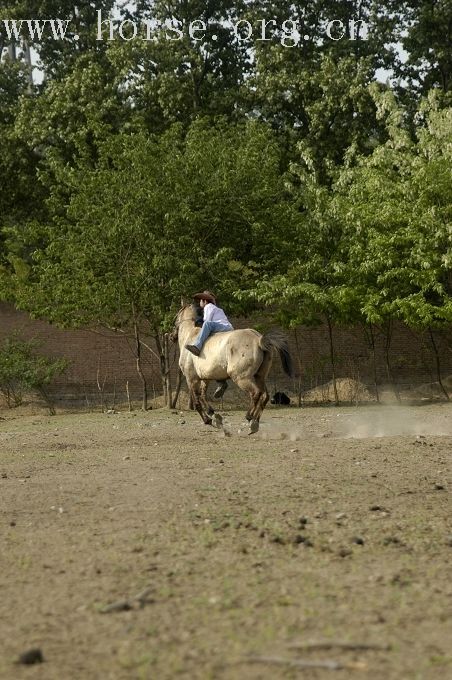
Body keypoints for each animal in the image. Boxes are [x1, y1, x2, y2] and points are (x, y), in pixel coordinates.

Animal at [170, 304, 294, 432]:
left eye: (176, 318)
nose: (171, 336)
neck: (190, 336)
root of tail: (258, 340)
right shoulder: (205, 378)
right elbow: (203, 395)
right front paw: (211, 412)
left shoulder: (191, 379)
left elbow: (197, 401)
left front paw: (207, 420)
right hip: (259, 376)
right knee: (264, 396)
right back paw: (255, 420)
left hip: (241, 378)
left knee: (256, 393)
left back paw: (249, 416)